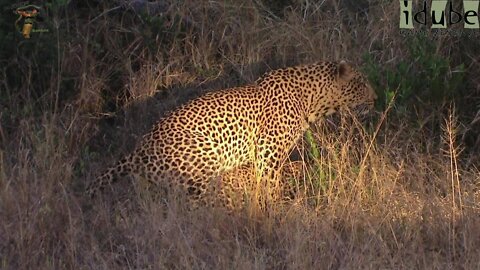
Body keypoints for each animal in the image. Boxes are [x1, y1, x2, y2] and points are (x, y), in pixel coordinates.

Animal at [87, 60, 378, 209]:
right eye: (362, 83)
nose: (376, 99)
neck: (312, 100)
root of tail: (138, 151)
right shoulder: (268, 153)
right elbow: (271, 185)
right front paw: (276, 211)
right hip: (204, 163)